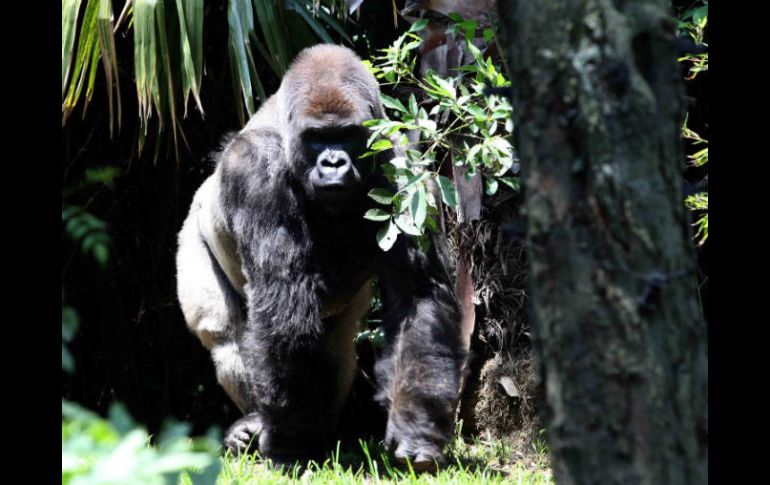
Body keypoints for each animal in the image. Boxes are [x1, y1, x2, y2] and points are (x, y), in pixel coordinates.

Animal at [176, 45, 462, 468]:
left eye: (345, 136)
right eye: (316, 139)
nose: (332, 163)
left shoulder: (405, 167)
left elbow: (418, 295)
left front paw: (416, 429)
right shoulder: (256, 169)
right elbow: (282, 304)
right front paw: (290, 444)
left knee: (336, 349)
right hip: (192, 233)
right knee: (223, 330)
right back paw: (252, 423)